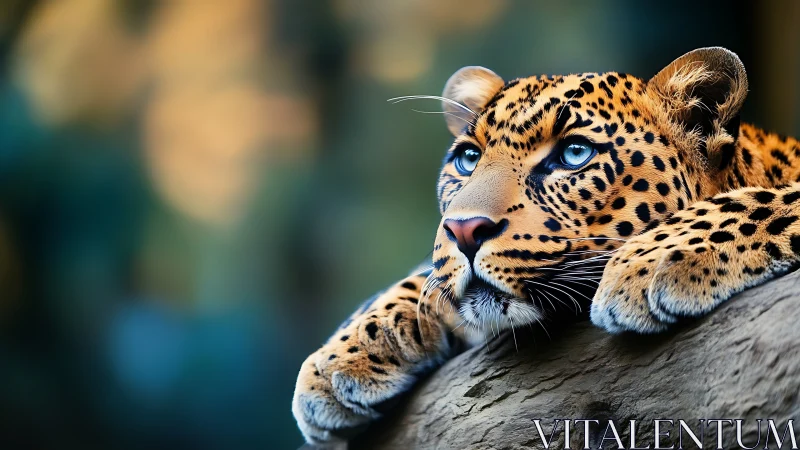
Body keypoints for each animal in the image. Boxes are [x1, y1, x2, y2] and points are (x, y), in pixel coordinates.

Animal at [292, 47, 800, 445]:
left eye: (574, 154)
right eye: (468, 158)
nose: (463, 230)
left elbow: (778, 199)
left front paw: (651, 258)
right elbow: (426, 275)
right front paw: (343, 353)